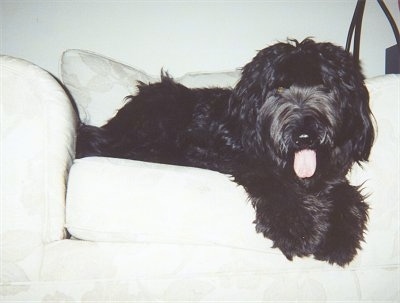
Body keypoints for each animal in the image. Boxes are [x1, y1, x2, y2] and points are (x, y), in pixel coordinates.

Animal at [76, 38, 374, 266]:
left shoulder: (330, 174)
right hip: (159, 110)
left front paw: (338, 237)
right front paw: (297, 227)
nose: (304, 136)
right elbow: (270, 177)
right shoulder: (225, 155)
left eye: (325, 87)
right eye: (278, 88)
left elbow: (346, 193)